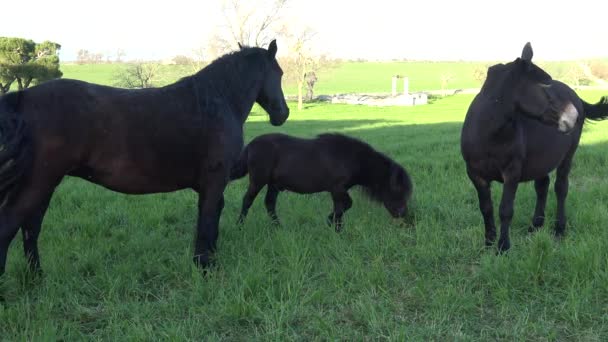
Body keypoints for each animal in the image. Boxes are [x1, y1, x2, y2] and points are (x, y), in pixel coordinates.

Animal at [0, 40, 290, 276]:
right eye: (280, 73)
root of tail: (23, 98)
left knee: (30, 228)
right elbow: (208, 222)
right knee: (11, 225)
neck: (216, 101)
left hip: (45, 184)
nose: (283, 113)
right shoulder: (214, 181)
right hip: (39, 183)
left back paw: (38, 277)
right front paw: (205, 267)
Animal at [229, 133, 414, 230]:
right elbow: (345, 205)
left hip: (273, 185)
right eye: (397, 190)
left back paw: (278, 227)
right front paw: (333, 224)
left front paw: (335, 226)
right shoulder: (338, 188)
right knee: (248, 200)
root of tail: (250, 145)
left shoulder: (337, 191)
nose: (405, 217)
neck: (351, 157)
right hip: (258, 181)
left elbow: (341, 207)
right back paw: (239, 226)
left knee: (269, 204)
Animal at [460, 42, 608, 251]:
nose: (573, 116)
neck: (488, 133)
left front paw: (503, 247)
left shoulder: (512, 172)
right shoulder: (475, 174)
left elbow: (505, 210)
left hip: (567, 156)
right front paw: (488, 243)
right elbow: (486, 208)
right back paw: (535, 226)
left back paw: (559, 230)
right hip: (541, 159)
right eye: (544, 84)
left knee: (561, 188)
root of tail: (577, 97)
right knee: (542, 186)